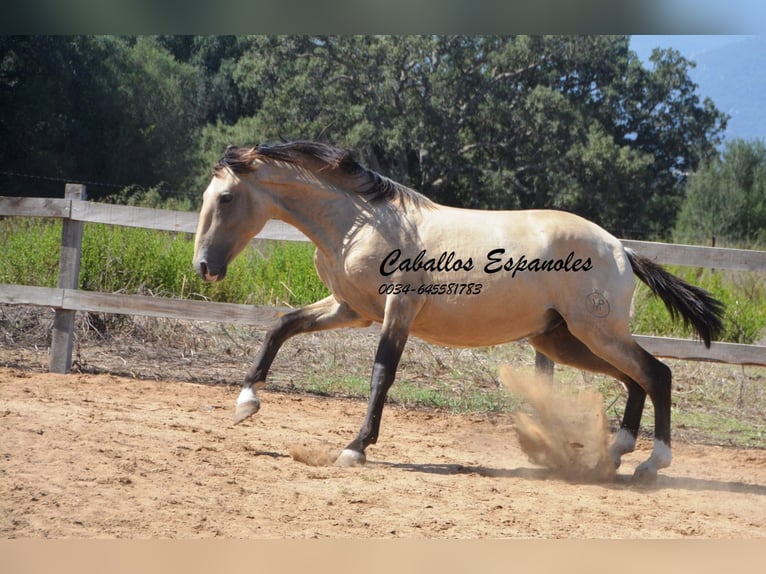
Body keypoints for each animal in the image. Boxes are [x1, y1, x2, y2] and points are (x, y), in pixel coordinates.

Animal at [192, 142, 728, 484]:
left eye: (226, 197)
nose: (204, 267)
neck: (359, 224)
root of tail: (621, 248)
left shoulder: (397, 310)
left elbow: (381, 374)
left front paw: (355, 448)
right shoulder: (351, 309)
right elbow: (281, 327)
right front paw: (245, 403)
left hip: (595, 332)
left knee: (656, 374)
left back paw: (651, 464)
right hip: (563, 340)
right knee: (635, 379)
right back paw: (615, 454)